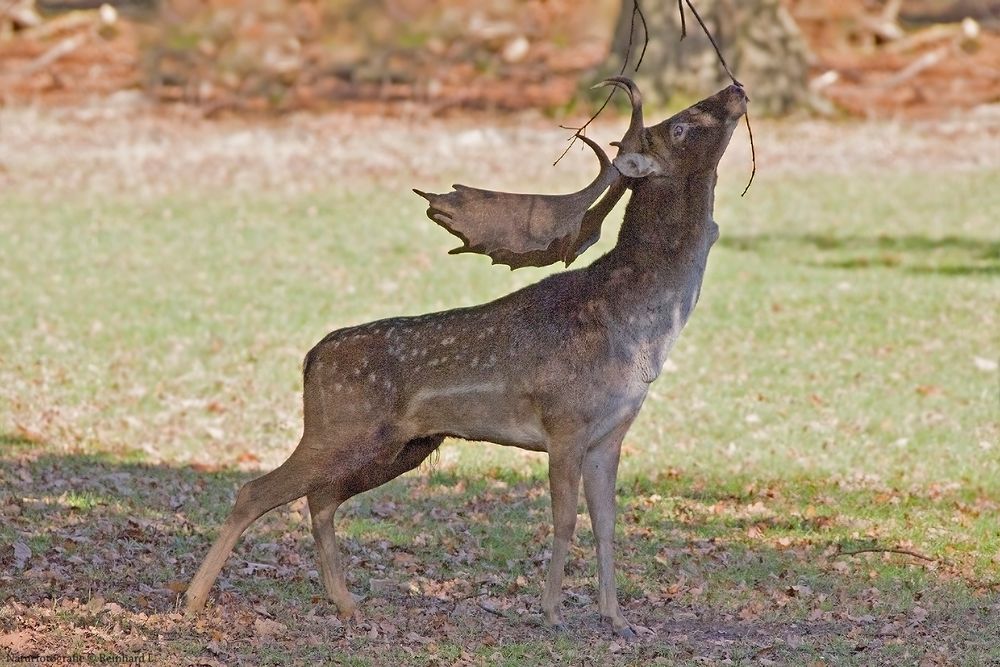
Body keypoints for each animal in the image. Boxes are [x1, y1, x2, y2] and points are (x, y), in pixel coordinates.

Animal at [188, 81, 748, 640]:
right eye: (681, 125)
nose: (736, 89)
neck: (640, 336)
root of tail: (311, 358)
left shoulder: (610, 434)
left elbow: (607, 525)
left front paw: (617, 618)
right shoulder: (565, 420)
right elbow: (565, 520)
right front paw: (552, 613)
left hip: (403, 445)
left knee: (320, 499)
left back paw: (346, 605)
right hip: (342, 427)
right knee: (254, 491)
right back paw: (192, 599)